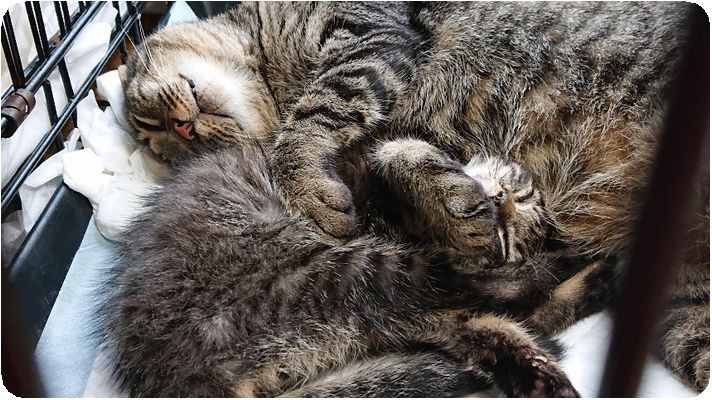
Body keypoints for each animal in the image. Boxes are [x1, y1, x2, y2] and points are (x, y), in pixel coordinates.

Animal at [118, 1, 709, 391]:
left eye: (147, 123)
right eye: (159, 139)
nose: (184, 132)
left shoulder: (369, 34)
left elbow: (317, 111)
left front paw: (304, 184)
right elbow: (392, 153)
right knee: (494, 303)